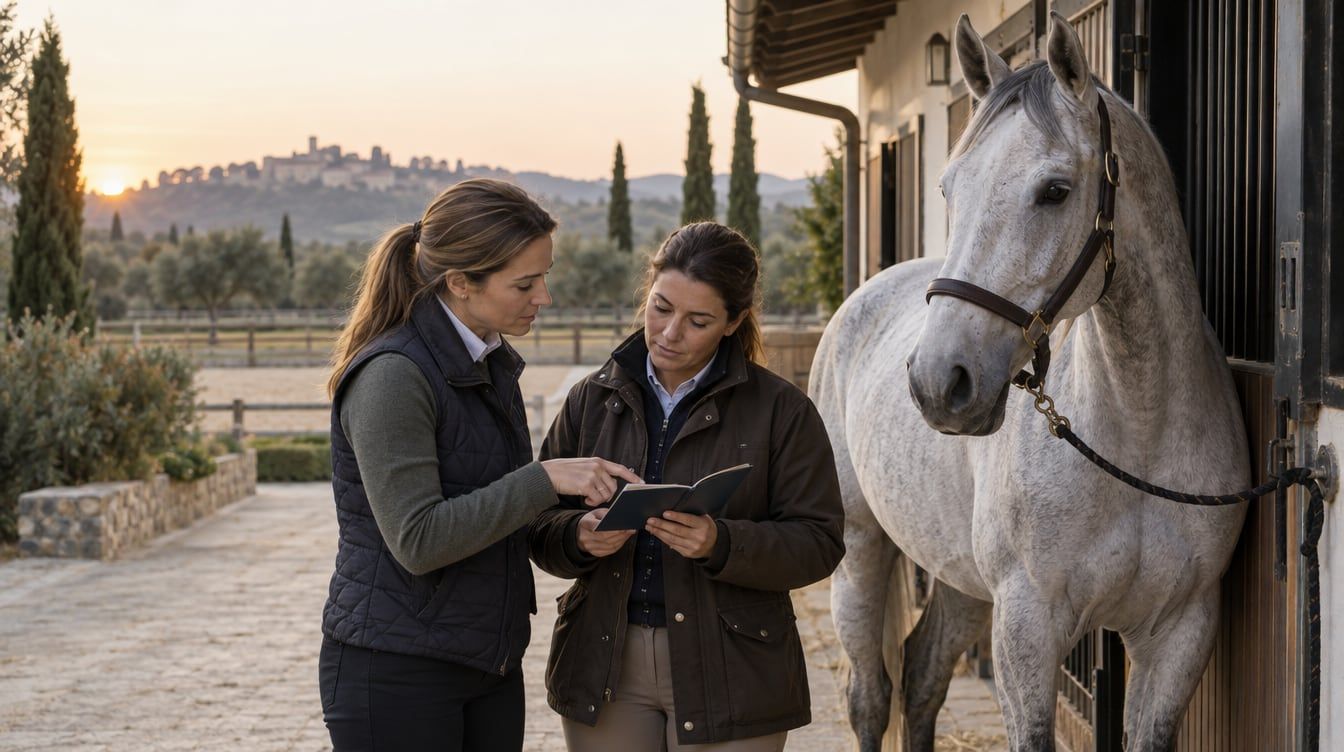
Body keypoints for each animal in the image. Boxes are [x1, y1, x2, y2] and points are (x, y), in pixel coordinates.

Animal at [809, 12, 1249, 752]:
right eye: (949, 188)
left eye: (1054, 191)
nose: (938, 383)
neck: (1136, 429)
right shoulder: (1026, 628)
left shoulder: (1178, 635)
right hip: (862, 549)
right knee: (869, 696)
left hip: (959, 576)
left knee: (922, 674)